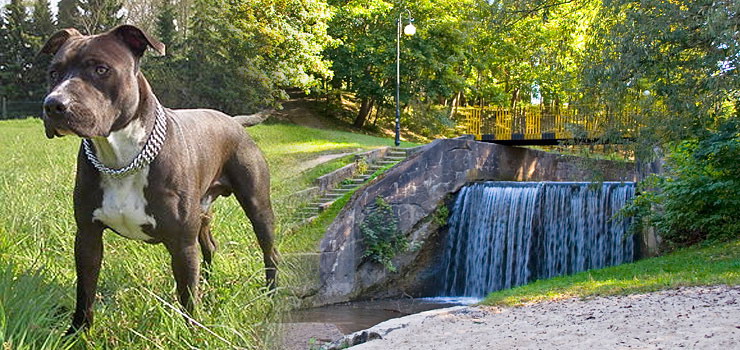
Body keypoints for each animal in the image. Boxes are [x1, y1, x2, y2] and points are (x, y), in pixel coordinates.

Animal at [39, 25, 278, 334]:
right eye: (53, 73)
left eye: (101, 69)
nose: (54, 104)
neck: (121, 158)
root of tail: (234, 120)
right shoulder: (87, 237)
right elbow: (85, 291)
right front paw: (77, 332)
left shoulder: (181, 243)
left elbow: (187, 297)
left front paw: (193, 335)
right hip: (202, 212)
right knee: (209, 246)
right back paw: (209, 285)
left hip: (257, 206)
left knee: (269, 251)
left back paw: (271, 294)